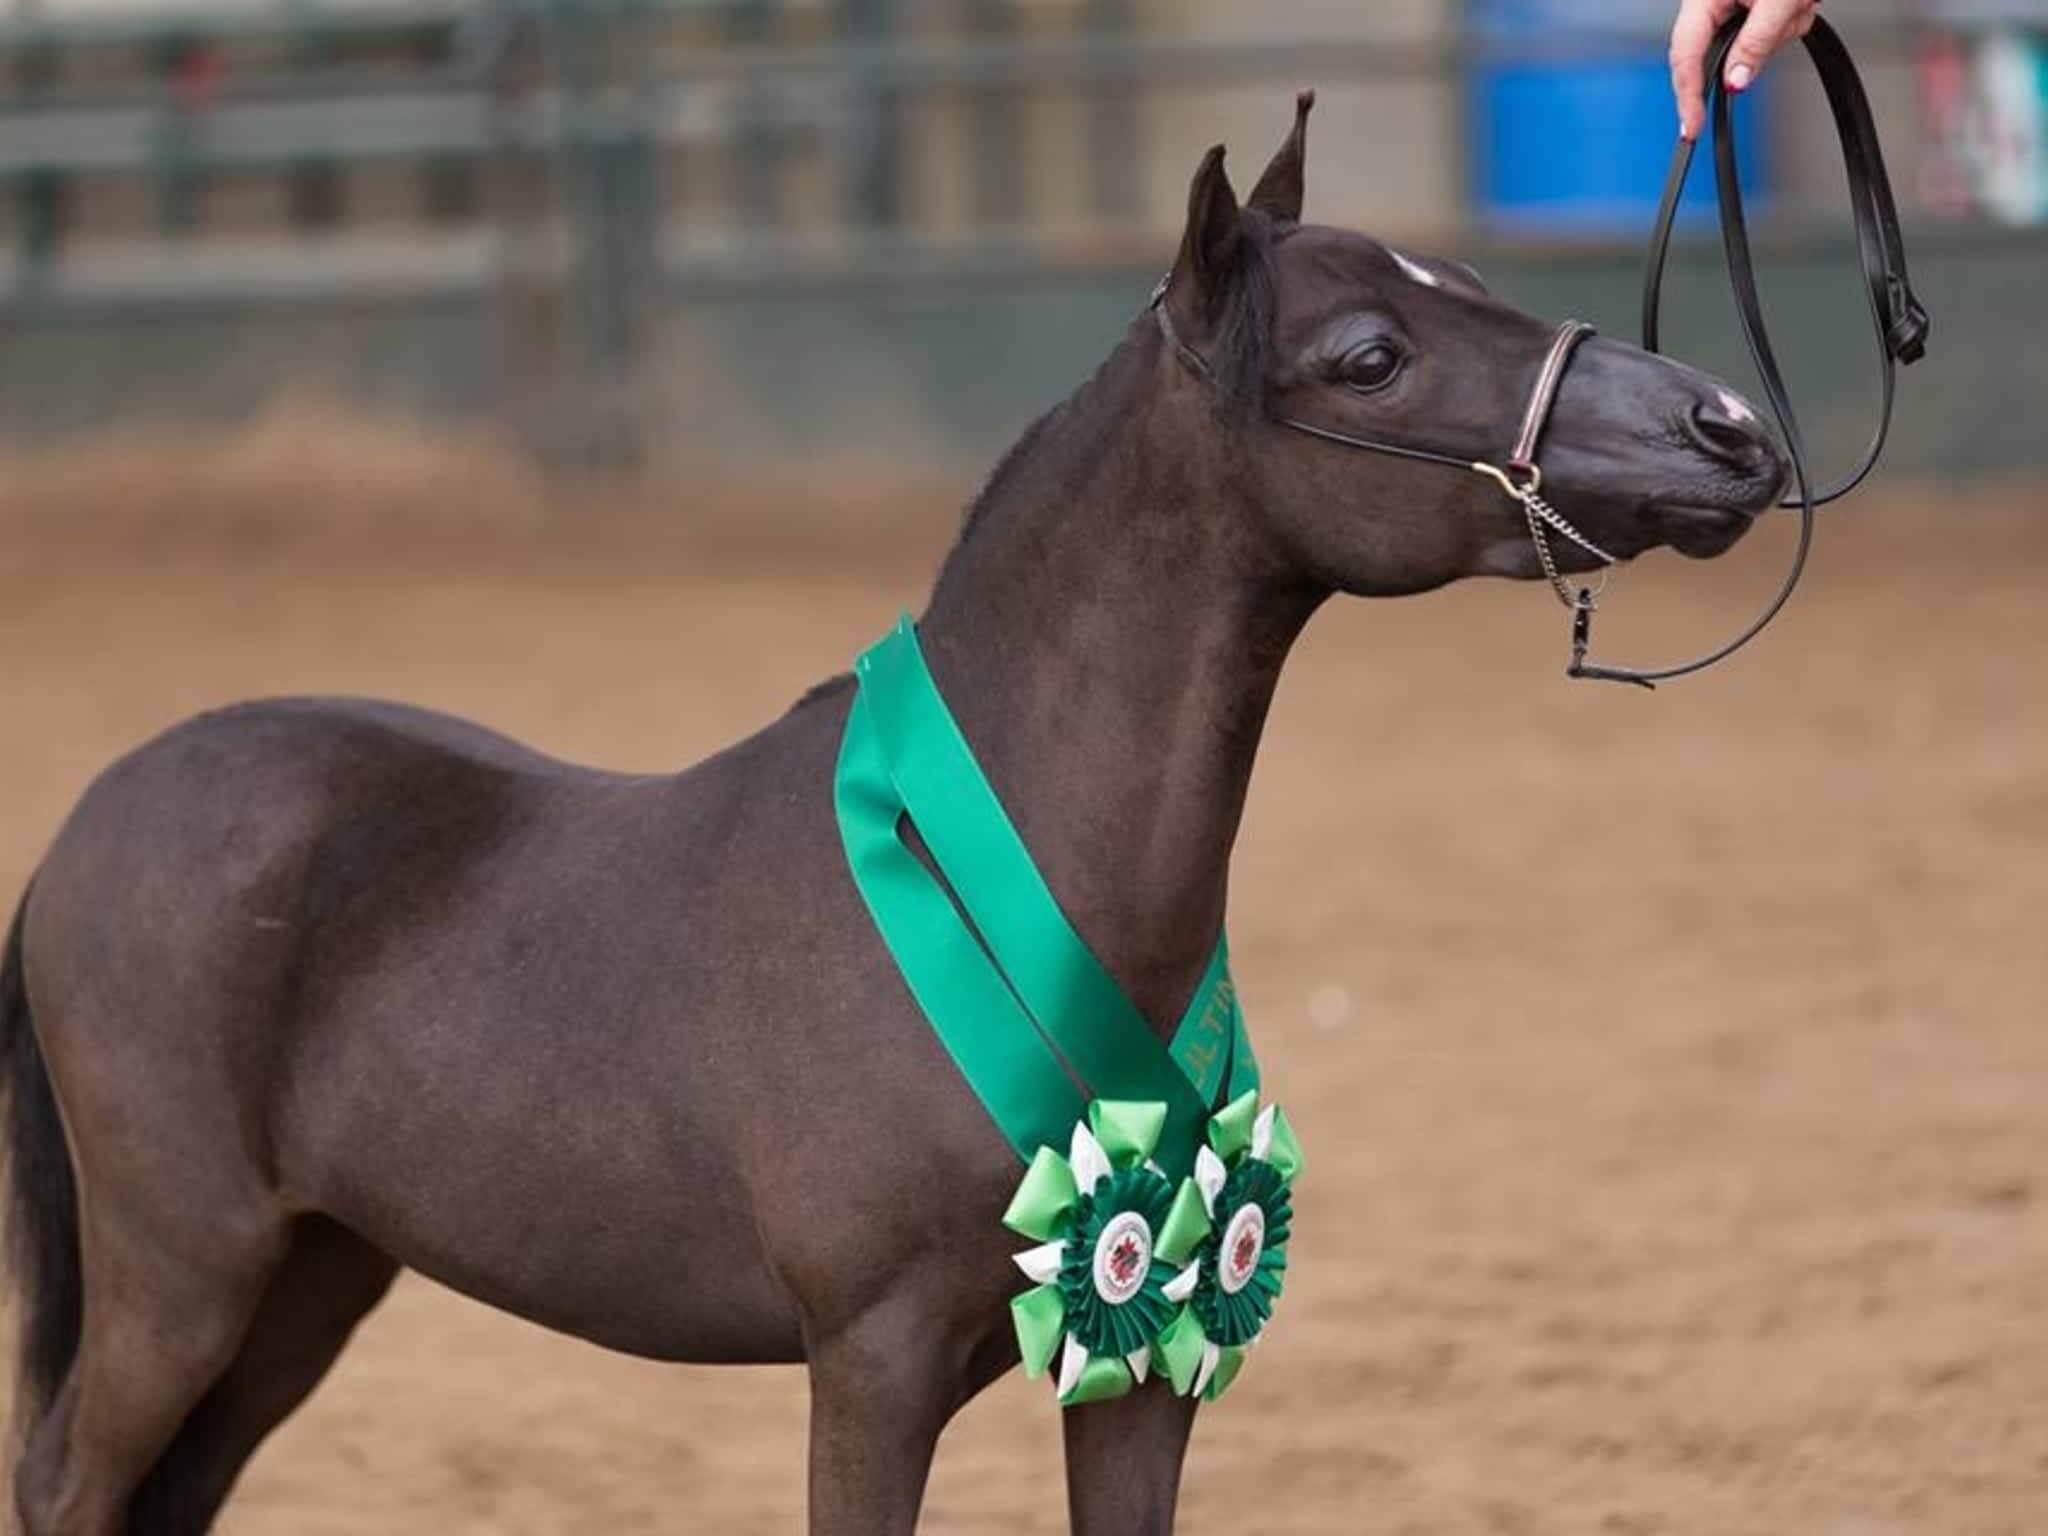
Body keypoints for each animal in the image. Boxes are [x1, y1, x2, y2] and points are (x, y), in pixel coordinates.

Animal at [8, 102, 1785, 1531]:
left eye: (1475, 286)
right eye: (1369, 355)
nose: (1726, 430)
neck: (1009, 871)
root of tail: (93, 820)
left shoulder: (1145, 1375)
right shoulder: (868, 1369)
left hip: (305, 1283)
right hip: (183, 1279)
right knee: (75, 1483)